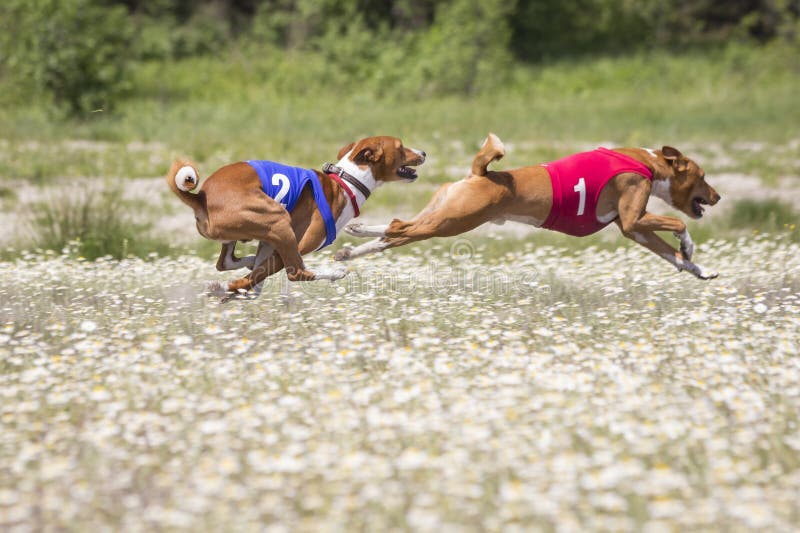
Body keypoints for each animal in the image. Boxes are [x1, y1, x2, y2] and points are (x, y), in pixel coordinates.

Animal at [167, 135, 424, 300]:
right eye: (401, 147)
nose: (423, 152)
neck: (346, 184)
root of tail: (200, 197)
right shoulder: (292, 247)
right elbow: (258, 279)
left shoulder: (269, 246)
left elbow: (251, 280)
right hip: (278, 220)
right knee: (296, 273)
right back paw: (334, 273)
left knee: (227, 265)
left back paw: (240, 270)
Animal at [334, 133, 720, 278]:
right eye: (702, 176)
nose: (717, 196)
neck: (646, 163)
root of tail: (482, 173)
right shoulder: (634, 219)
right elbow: (680, 226)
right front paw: (689, 246)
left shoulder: (632, 229)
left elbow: (672, 256)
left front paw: (701, 270)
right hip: (450, 223)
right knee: (398, 229)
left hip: (442, 213)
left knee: (394, 232)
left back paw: (352, 243)